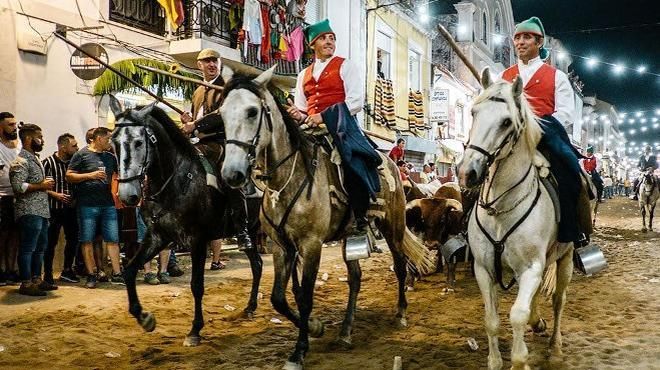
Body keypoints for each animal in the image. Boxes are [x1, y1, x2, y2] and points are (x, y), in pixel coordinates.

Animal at [456, 70, 576, 370]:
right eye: (473, 113)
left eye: (506, 122)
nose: (467, 173)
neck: (500, 208)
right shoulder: (483, 269)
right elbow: (492, 320)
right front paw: (495, 361)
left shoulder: (532, 268)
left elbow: (517, 315)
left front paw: (520, 360)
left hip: (566, 257)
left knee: (559, 300)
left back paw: (555, 348)